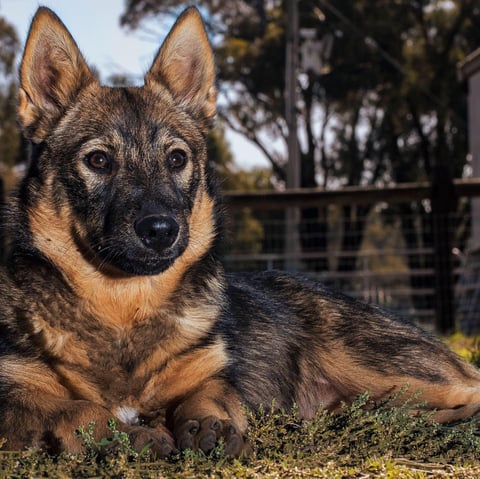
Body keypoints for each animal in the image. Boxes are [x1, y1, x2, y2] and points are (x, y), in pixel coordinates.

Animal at [0, 5, 480, 458]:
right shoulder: (14, 393)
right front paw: (128, 435)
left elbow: (211, 396)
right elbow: (76, 408)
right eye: (98, 160)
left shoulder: (211, 374)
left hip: (381, 367)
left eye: (176, 159)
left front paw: (208, 425)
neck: (123, 309)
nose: (161, 230)